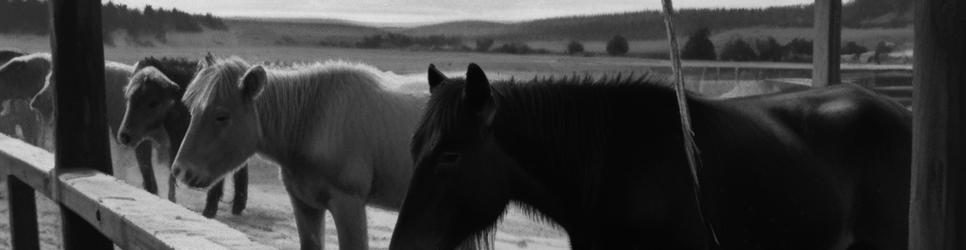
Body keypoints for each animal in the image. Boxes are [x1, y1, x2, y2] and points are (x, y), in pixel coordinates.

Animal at [173, 57, 428, 250]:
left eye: (221, 116)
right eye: (192, 111)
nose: (180, 170)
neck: (313, 121)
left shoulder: (349, 205)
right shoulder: (304, 205)